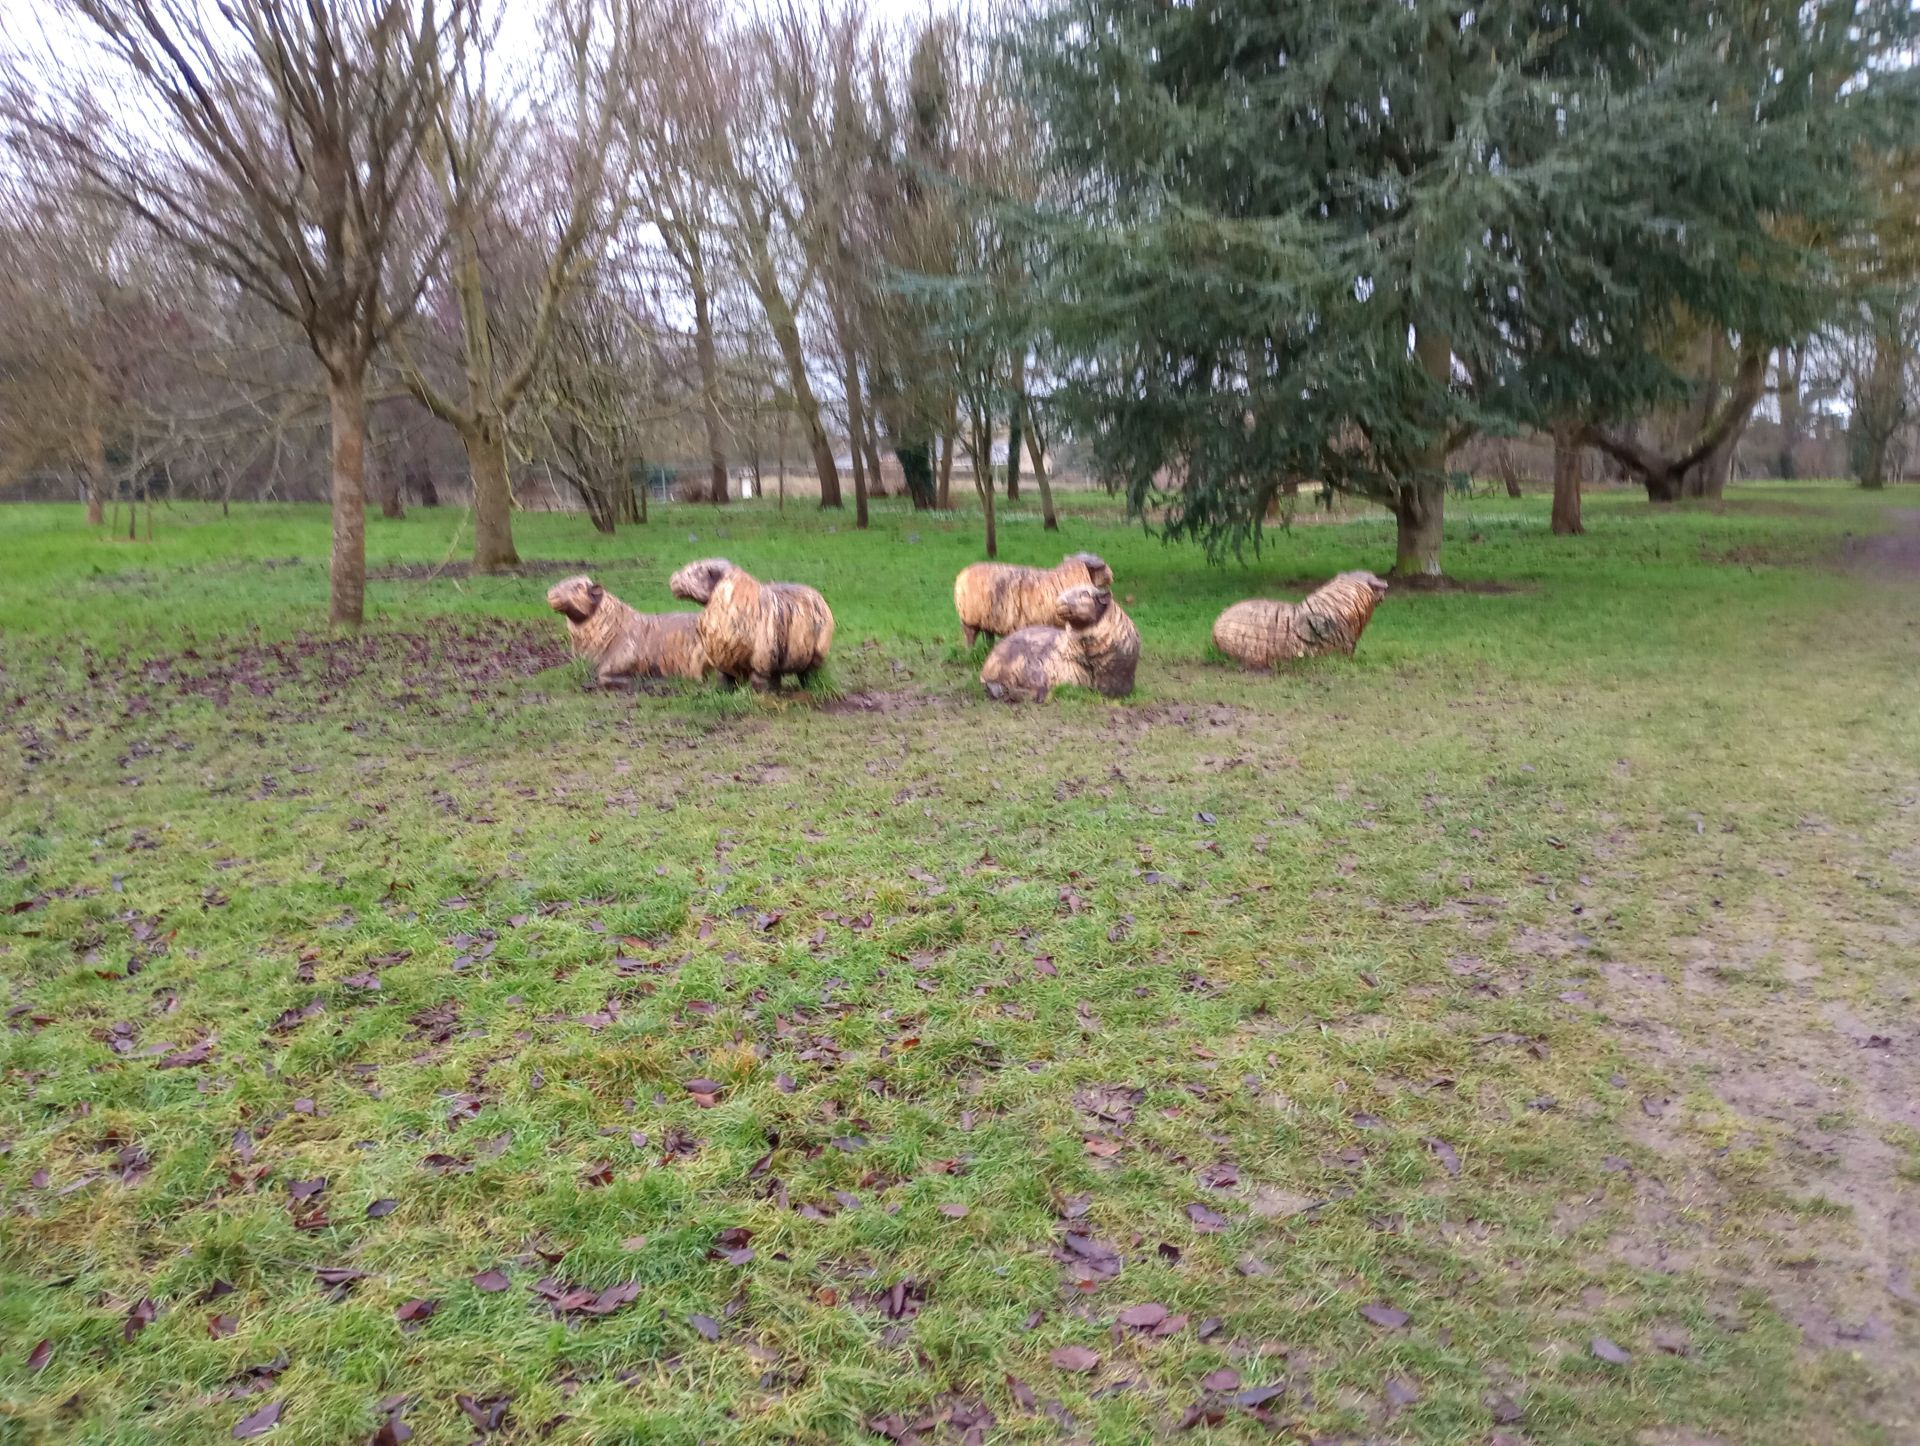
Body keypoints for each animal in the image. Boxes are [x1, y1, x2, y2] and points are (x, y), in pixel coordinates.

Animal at [668, 557, 835, 692]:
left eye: (695, 572)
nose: (673, 579)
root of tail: (817, 595)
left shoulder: (761, 660)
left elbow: (759, 682)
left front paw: (760, 696)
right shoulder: (722, 661)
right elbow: (724, 681)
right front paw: (722, 693)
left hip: (816, 655)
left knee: (809, 674)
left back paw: (811, 687)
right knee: (779, 676)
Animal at [953, 551, 1114, 648]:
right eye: (1102, 567)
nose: (1112, 575)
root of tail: (962, 574)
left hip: (988, 619)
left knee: (988, 636)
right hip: (969, 620)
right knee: (970, 638)